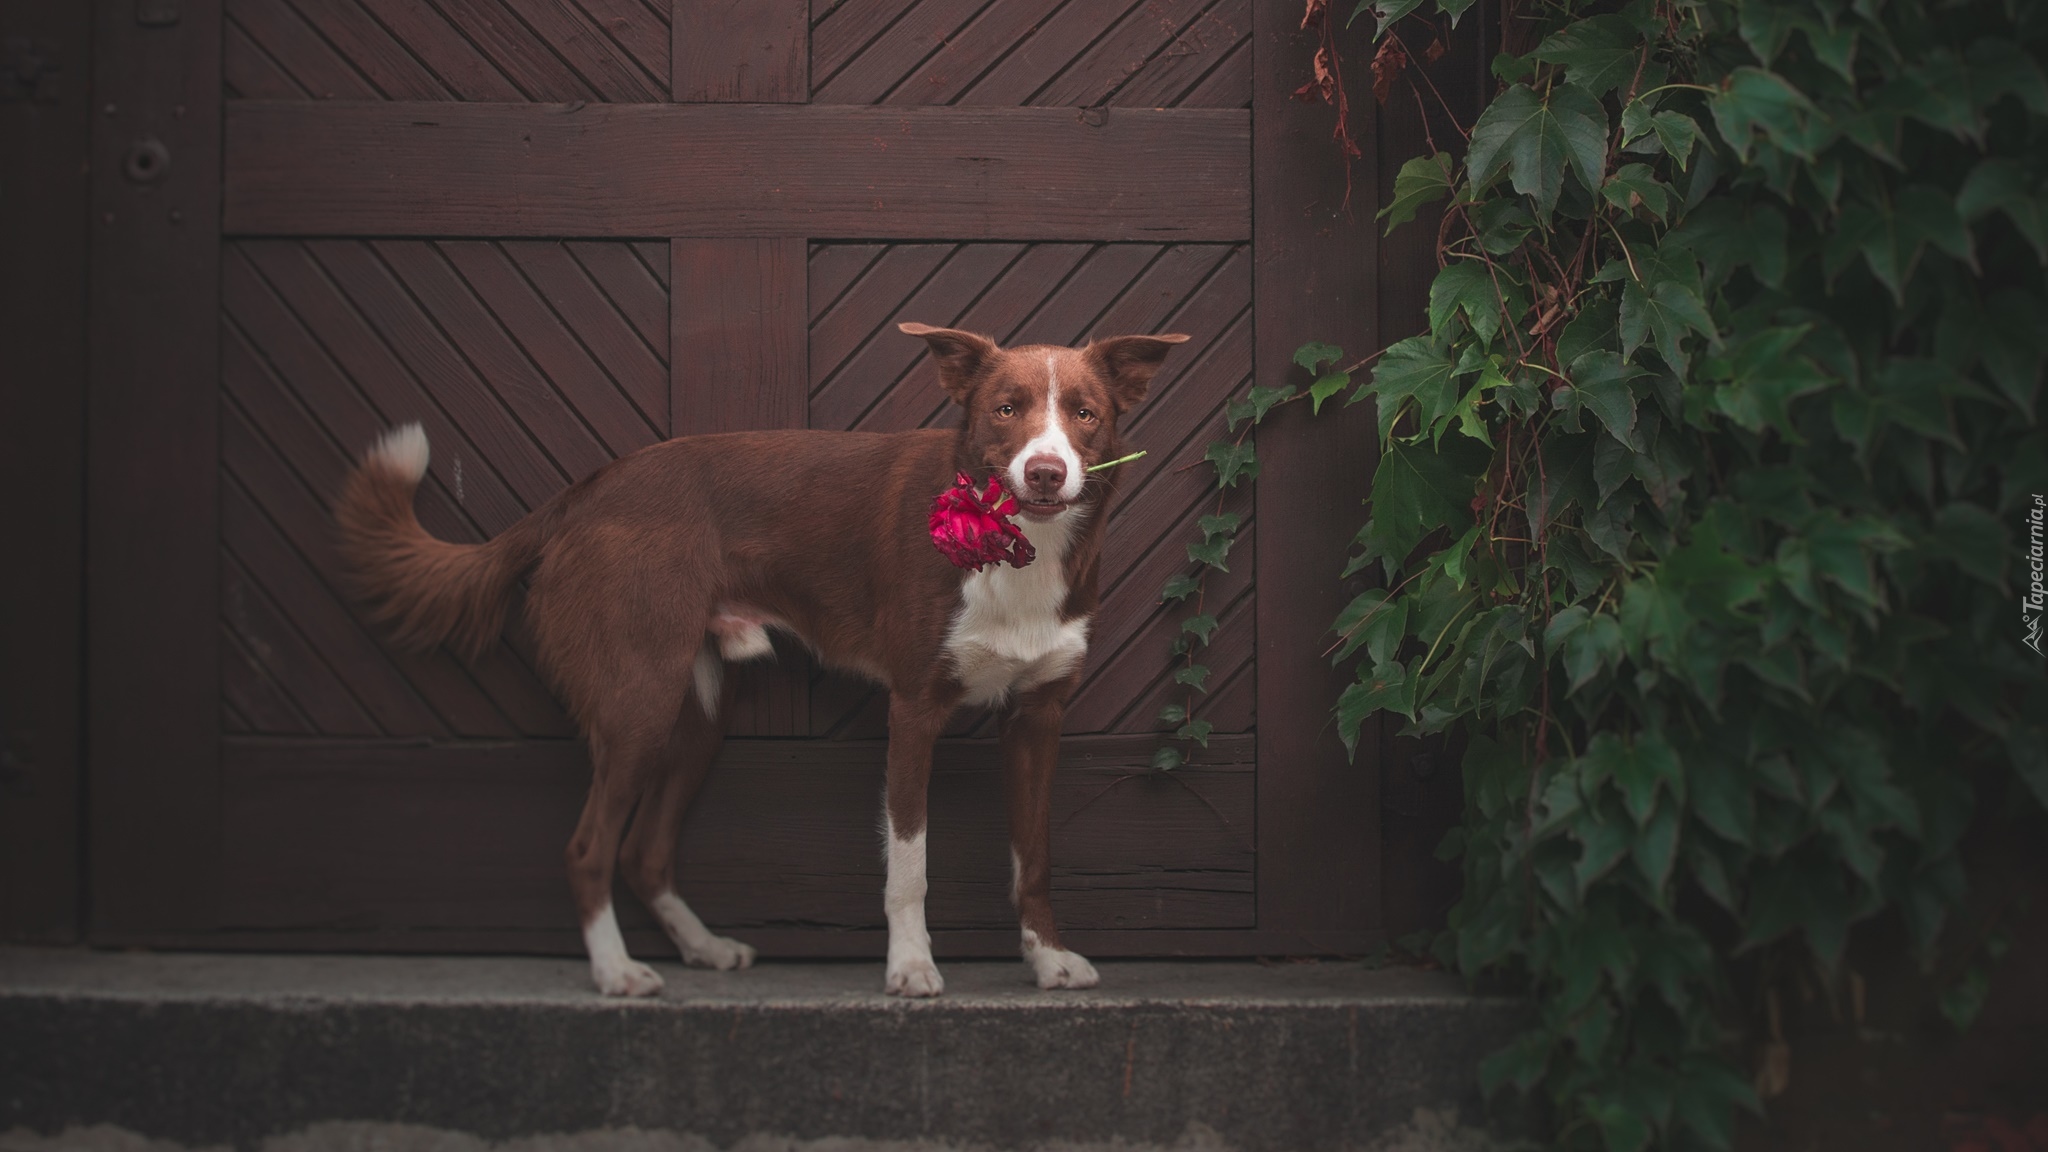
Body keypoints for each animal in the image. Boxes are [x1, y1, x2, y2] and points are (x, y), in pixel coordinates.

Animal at [333, 319, 1187, 996]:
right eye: (1006, 409)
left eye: (1085, 414)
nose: (1045, 471)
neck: (1014, 548)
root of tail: (584, 492)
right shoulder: (914, 710)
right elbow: (908, 866)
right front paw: (910, 966)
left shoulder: (1039, 719)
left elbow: (1034, 855)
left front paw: (1047, 960)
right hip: (638, 701)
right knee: (588, 848)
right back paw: (615, 972)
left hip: (694, 720)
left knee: (643, 853)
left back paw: (702, 947)